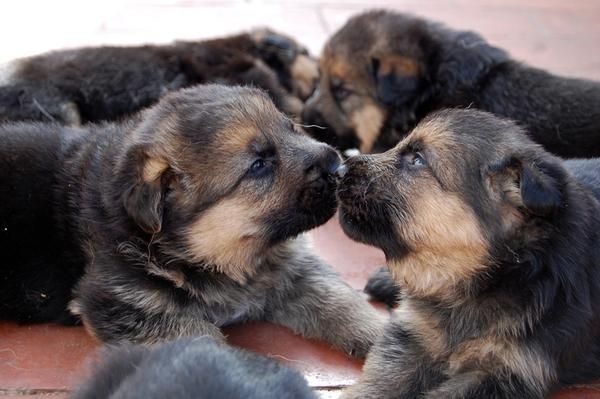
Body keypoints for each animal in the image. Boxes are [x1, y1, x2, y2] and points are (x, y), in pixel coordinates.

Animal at [0, 83, 384, 356]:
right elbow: (205, 345)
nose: (339, 166)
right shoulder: (125, 306)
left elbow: (341, 303)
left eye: (291, 128)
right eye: (259, 165)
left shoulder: (294, 273)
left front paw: (382, 337)